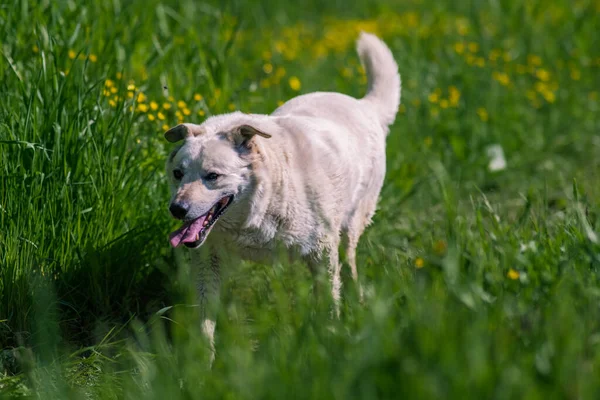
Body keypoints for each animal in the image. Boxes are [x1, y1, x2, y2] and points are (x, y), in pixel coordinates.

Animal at [164, 32, 398, 358]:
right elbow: (204, 318)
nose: (177, 209)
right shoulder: (209, 260)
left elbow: (329, 302)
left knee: (349, 263)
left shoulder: (322, 250)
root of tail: (365, 107)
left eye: (213, 176)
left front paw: (330, 340)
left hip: (350, 226)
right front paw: (202, 363)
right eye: (178, 174)